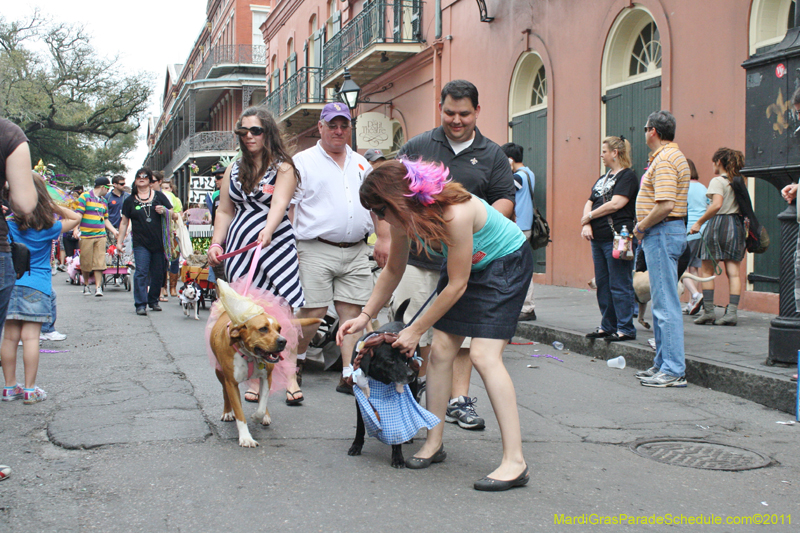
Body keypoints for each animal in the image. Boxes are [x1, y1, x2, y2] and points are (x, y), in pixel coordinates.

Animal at [211, 310, 320, 446]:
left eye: (279, 329)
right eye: (263, 329)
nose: (283, 341)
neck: (250, 355)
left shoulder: (266, 377)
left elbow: (262, 406)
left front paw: (257, 417)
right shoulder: (231, 383)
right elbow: (239, 412)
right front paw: (246, 437)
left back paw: (265, 416)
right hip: (219, 373)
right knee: (225, 392)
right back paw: (227, 412)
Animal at [348, 302, 424, 468]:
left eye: (405, 358)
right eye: (390, 360)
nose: (411, 375)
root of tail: (400, 321)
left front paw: (397, 456)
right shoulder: (360, 399)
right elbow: (360, 425)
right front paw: (356, 445)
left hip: (414, 387)